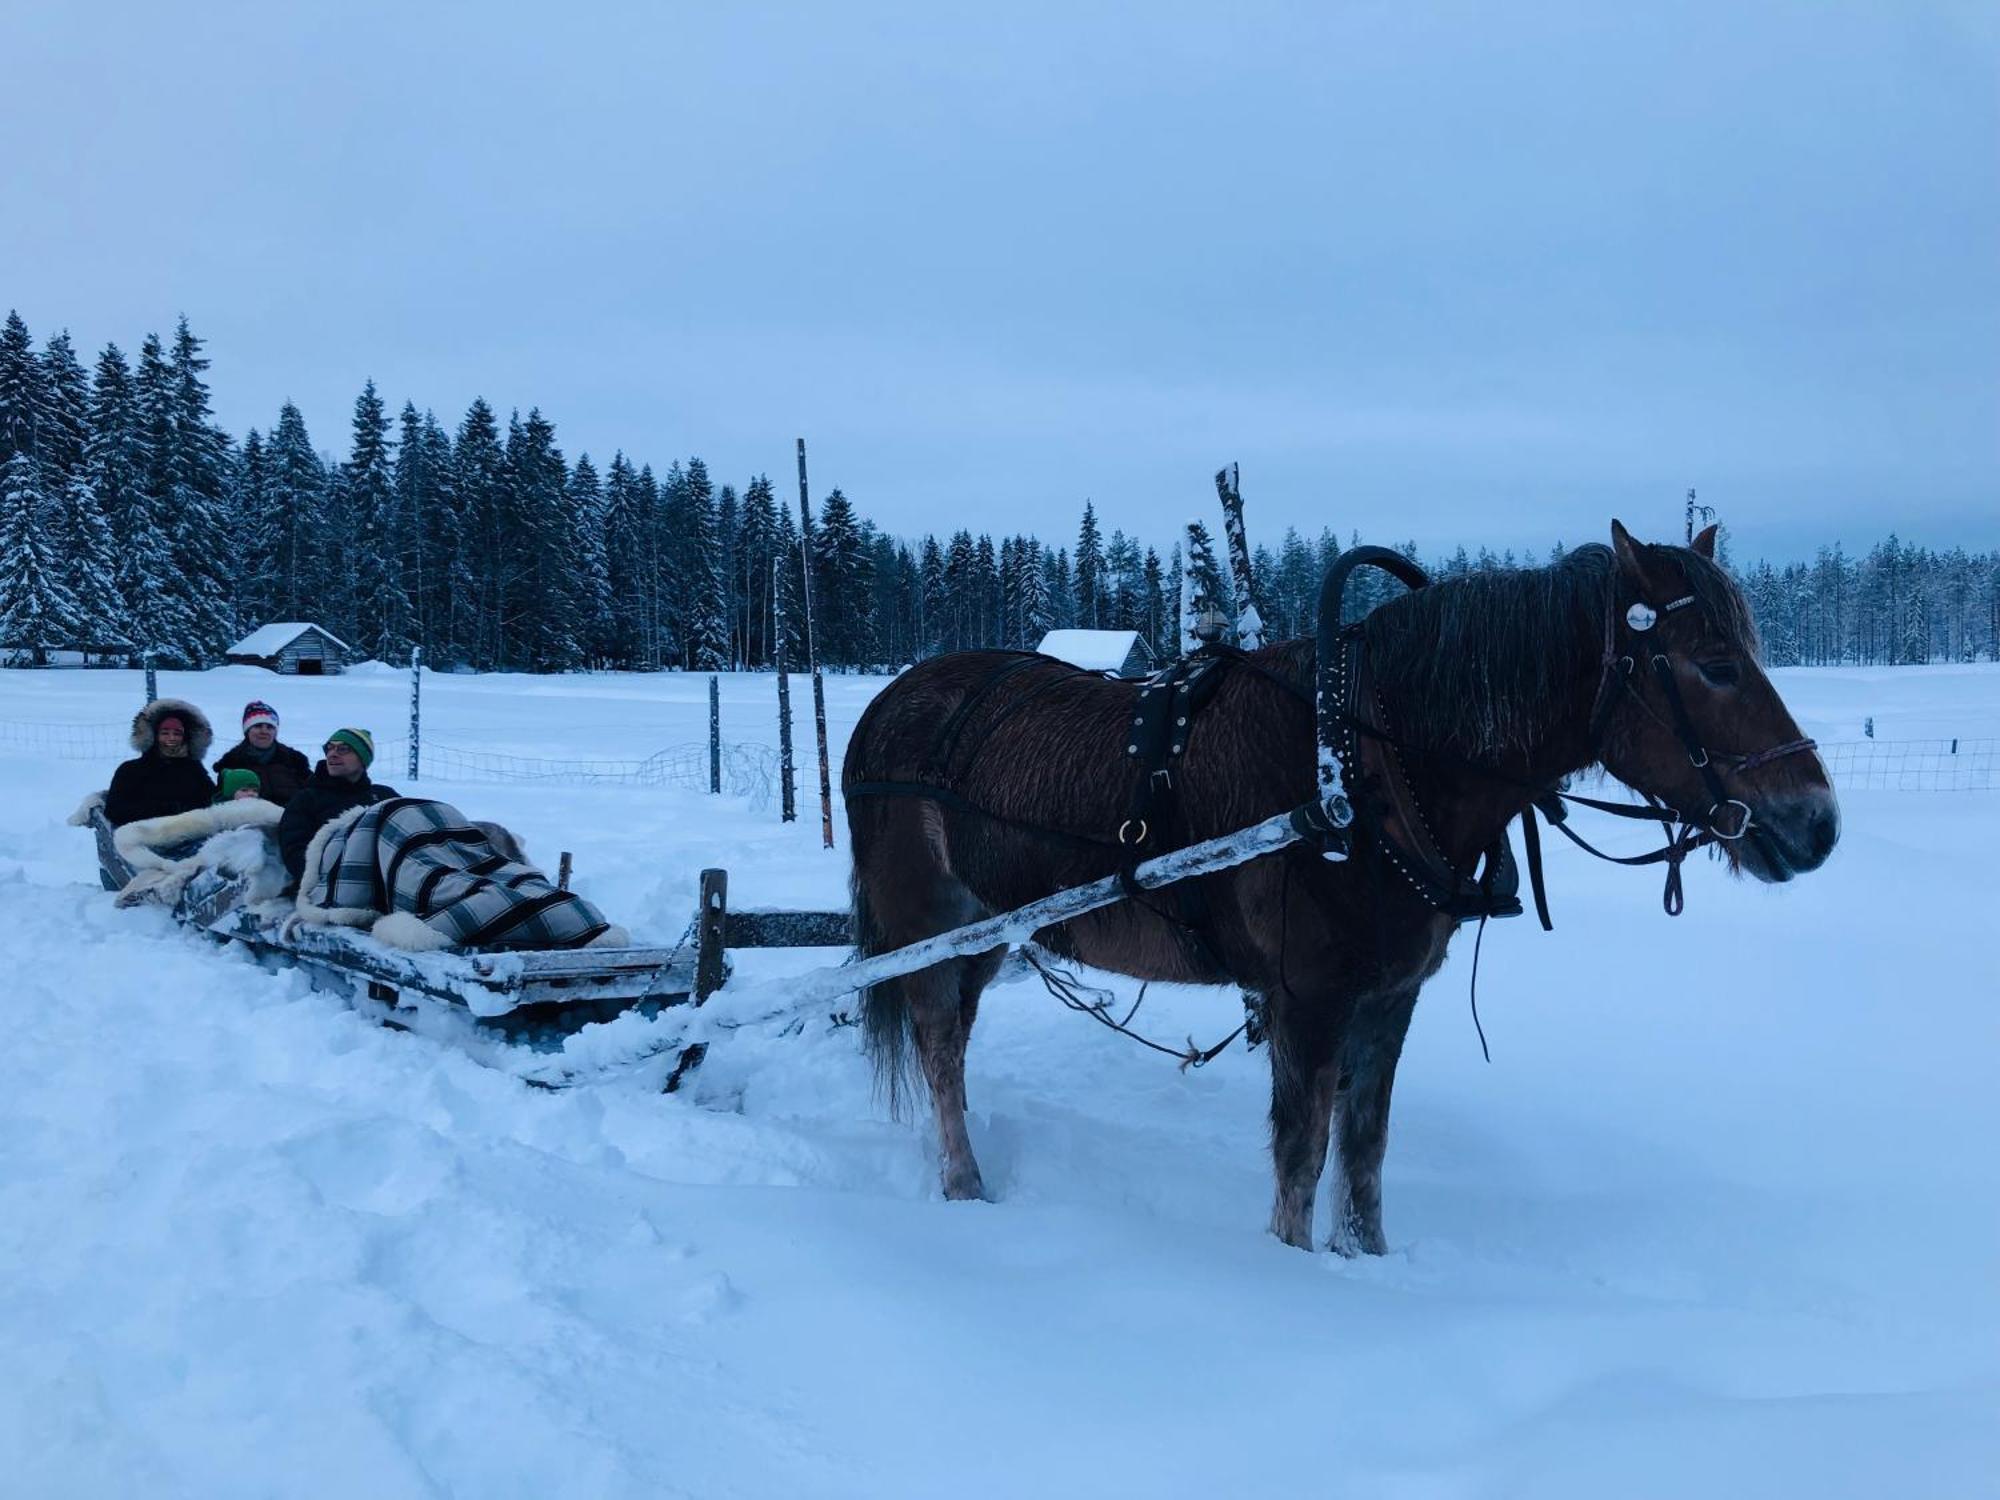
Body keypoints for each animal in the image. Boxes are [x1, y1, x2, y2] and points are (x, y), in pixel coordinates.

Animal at [836, 528, 1832, 1256]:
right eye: (1714, 666)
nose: (1817, 822)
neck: (1367, 764)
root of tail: (887, 706)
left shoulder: (1388, 999)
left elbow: (1364, 1153)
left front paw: (1366, 1264)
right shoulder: (1306, 1000)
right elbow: (1302, 1157)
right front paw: (1298, 1278)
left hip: (984, 934)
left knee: (953, 1041)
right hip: (927, 926)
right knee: (938, 1049)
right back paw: (964, 1188)